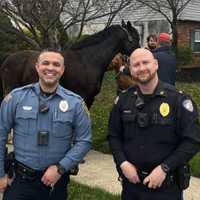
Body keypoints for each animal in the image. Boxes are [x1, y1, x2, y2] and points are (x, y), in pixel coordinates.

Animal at [0, 21, 140, 108]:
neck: (88, 59)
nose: (141, 52)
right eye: (136, 37)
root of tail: (8, 58)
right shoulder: (84, 97)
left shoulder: (90, 98)